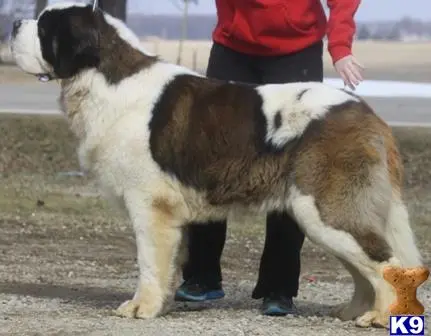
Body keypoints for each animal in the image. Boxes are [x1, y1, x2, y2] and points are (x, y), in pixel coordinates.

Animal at [10, 1, 426, 330]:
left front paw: (141, 307)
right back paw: (355, 310)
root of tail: (368, 113)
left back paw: (381, 316)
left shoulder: (148, 203)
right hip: (324, 215)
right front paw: (162, 302)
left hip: (325, 210)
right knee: (367, 265)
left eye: (45, 27)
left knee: (383, 261)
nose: (13, 23)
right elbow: (167, 261)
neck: (104, 78)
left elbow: (148, 261)